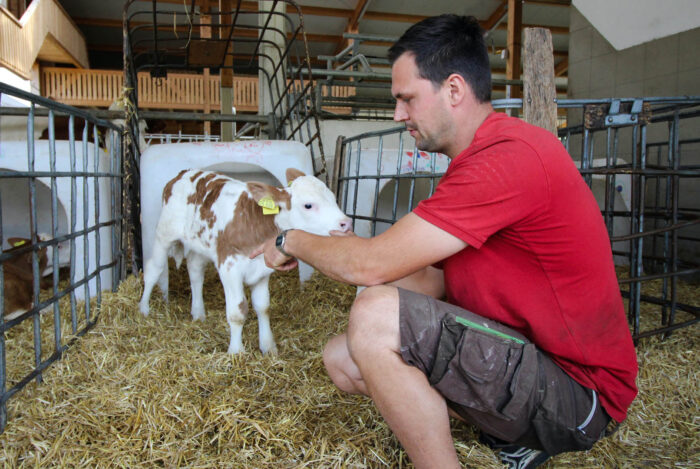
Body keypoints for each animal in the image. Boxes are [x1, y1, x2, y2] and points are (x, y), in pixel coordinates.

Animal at [140, 166, 352, 352]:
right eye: (308, 205)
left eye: (333, 198)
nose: (346, 223)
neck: (254, 222)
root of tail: (184, 173)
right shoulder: (229, 267)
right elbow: (237, 312)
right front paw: (236, 352)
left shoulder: (262, 270)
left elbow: (263, 307)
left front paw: (268, 347)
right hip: (164, 233)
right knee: (154, 269)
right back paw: (143, 309)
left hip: (200, 243)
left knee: (195, 270)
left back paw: (198, 313)